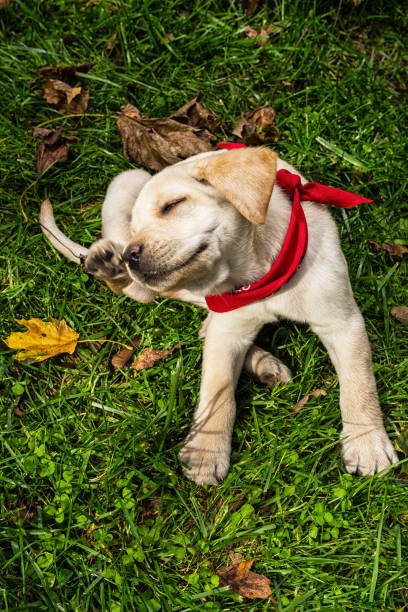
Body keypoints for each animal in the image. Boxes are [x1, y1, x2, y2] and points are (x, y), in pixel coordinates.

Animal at [39, 147, 396, 482]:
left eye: (173, 205)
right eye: (135, 226)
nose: (131, 256)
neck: (258, 275)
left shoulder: (342, 321)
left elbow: (359, 384)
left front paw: (367, 444)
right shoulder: (229, 330)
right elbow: (218, 389)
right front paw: (205, 452)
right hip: (128, 182)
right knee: (141, 292)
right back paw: (107, 264)